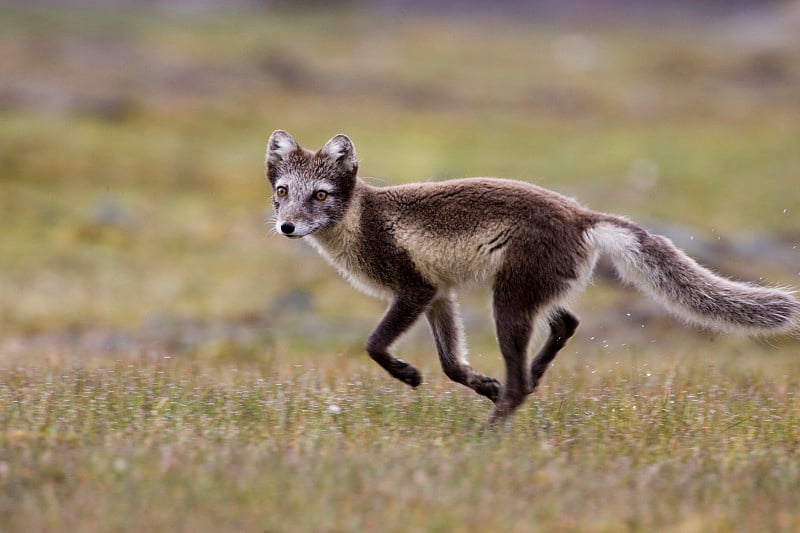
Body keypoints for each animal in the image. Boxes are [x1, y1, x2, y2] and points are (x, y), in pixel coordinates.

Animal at [266, 130, 796, 424]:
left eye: (320, 194)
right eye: (283, 191)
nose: (286, 227)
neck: (361, 223)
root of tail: (583, 215)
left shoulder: (415, 289)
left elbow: (374, 345)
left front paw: (407, 373)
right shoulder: (439, 294)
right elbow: (451, 364)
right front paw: (480, 383)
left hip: (509, 302)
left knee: (524, 374)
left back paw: (487, 434)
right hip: (535, 292)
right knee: (565, 325)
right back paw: (523, 385)